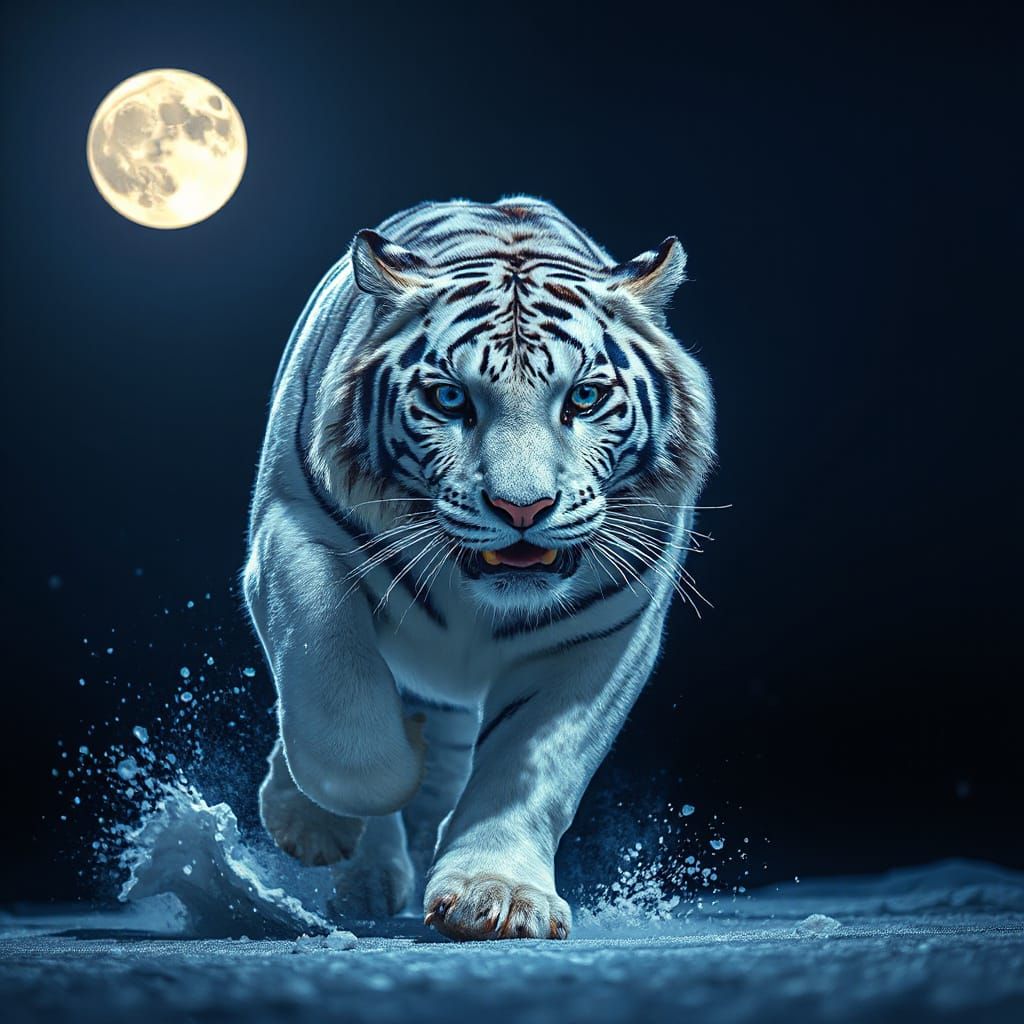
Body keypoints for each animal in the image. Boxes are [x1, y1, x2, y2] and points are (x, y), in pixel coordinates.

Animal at [243, 196, 716, 940]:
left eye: (583, 399)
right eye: (448, 400)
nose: (523, 508)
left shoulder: (611, 629)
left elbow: (530, 765)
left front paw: (496, 896)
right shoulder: (294, 531)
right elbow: (344, 723)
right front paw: (340, 807)